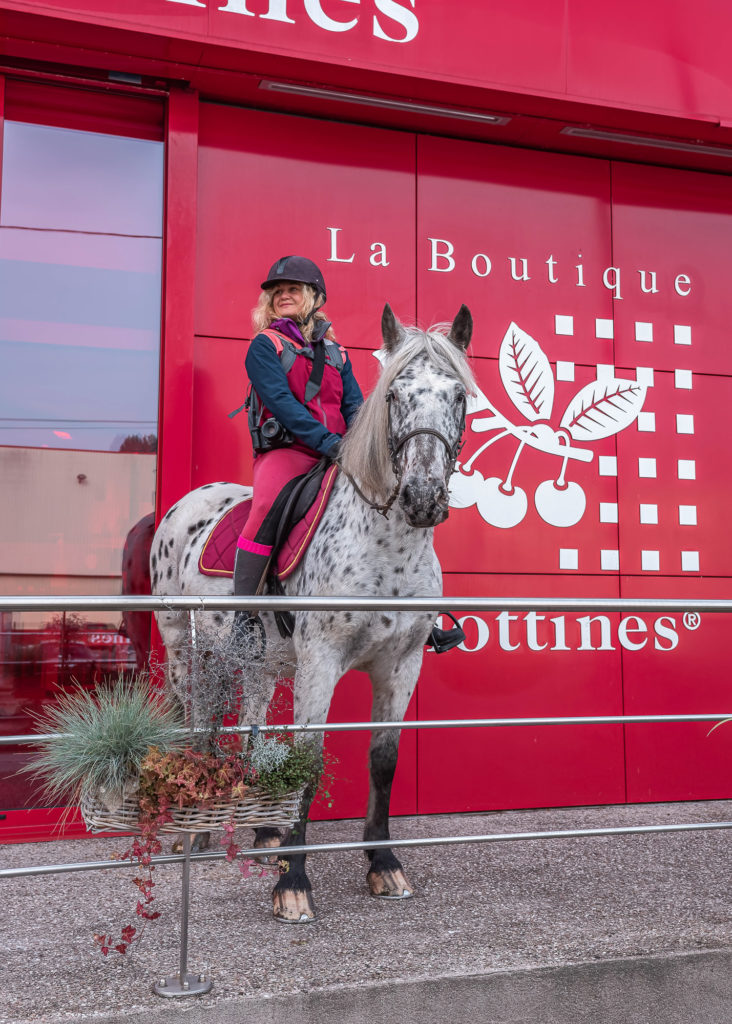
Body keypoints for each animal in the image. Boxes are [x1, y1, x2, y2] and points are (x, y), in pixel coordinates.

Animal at [151, 303, 479, 921]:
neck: (388, 547)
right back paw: (194, 833)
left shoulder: (402, 665)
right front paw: (293, 883)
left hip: (254, 662)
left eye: (458, 395)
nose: (422, 497)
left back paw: (262, 834)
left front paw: (383, 865)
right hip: (188, 652)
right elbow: (308, 758)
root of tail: (187, 503)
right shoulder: (321, 661)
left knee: (249, 724)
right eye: (395, 394)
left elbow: (383, 760)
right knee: (199, 722)